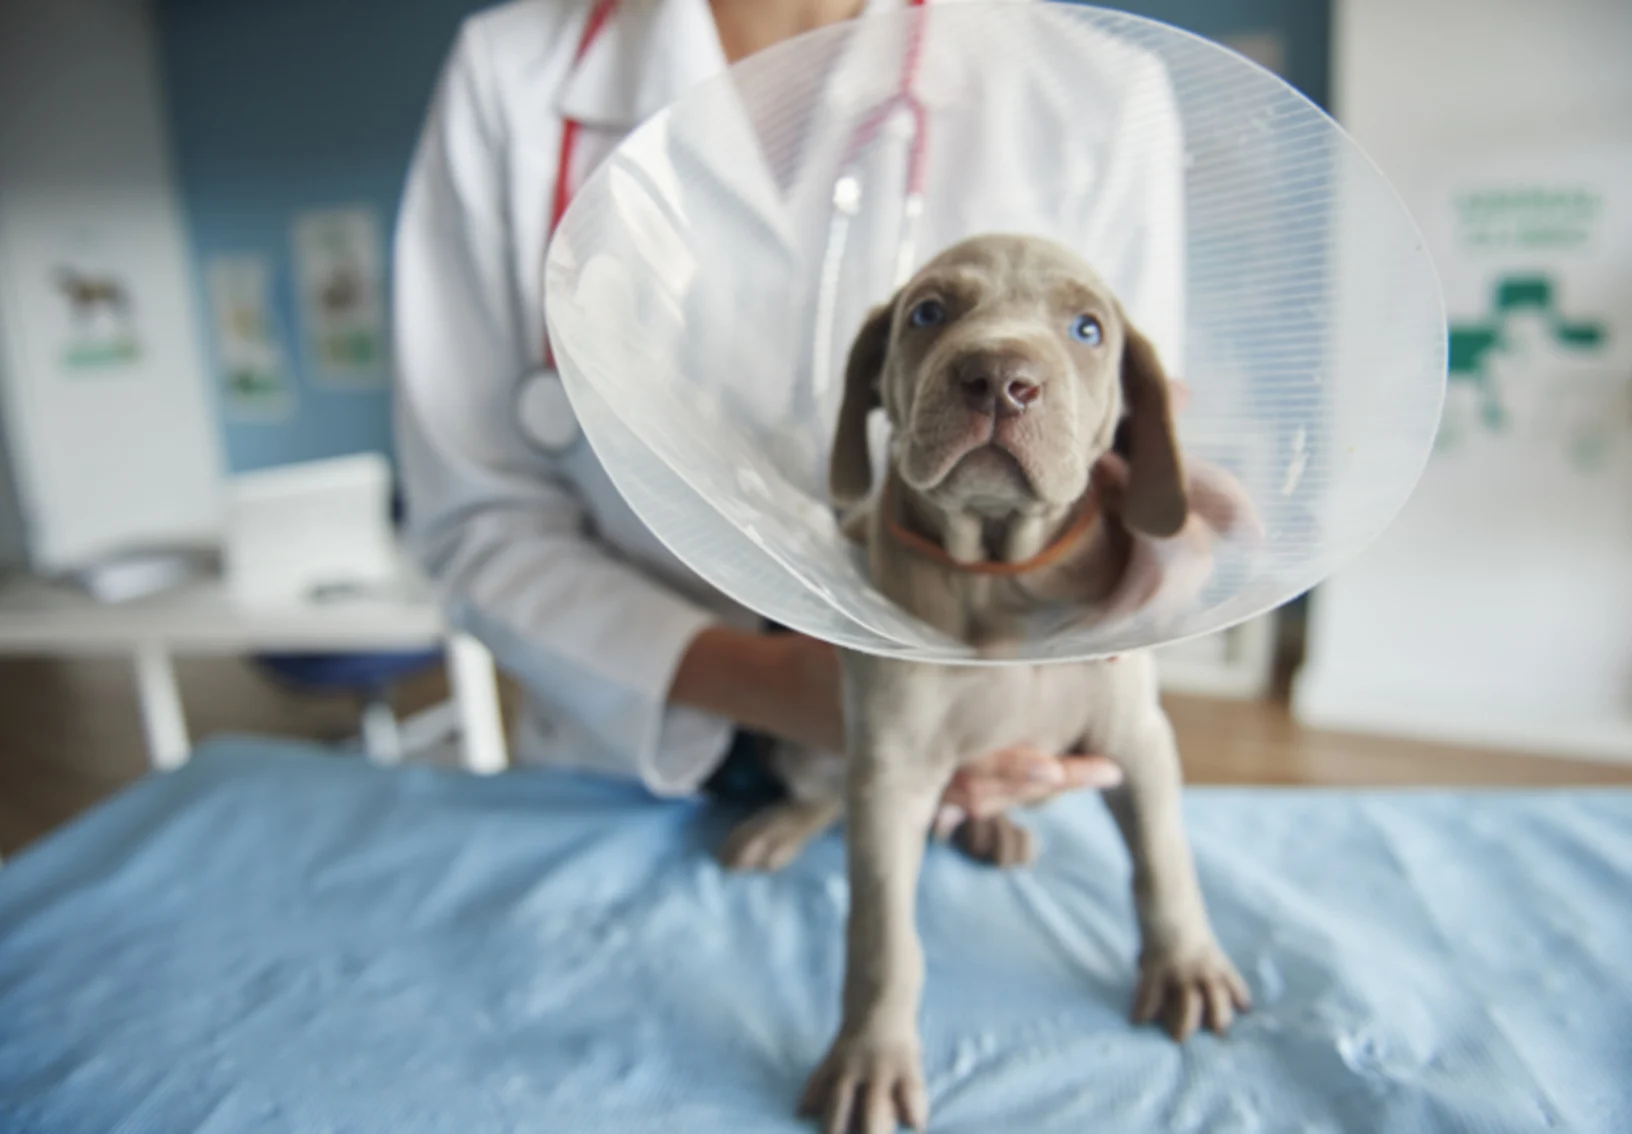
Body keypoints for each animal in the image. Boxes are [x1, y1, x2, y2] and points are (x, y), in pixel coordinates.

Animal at [721, 233, 1240, 1134]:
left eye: (1087, 329)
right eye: (928, 313)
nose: (1001, 378)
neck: (1001, 573)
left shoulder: (1137, 737)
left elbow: (1165, 856)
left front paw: (1187, 964)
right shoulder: (892, 770)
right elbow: (882, 936)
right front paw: (871, 1059)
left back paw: (994, 828)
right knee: (824, 790)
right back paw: (779, 826)